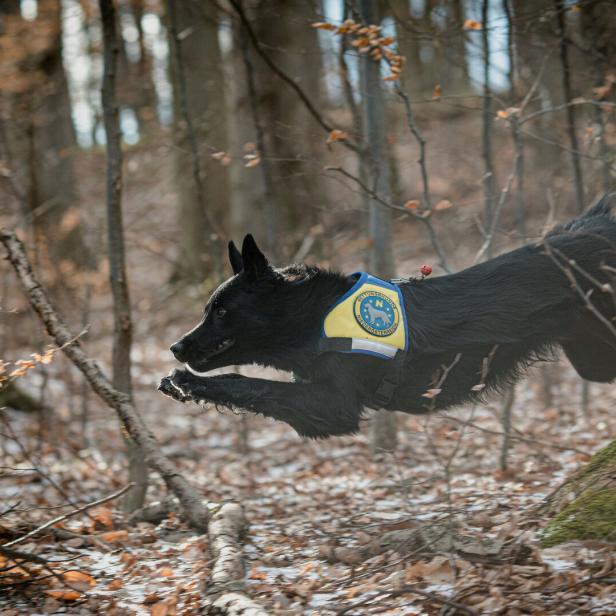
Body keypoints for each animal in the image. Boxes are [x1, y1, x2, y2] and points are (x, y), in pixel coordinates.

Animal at [160, 197, 616, 438]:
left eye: (222, 311)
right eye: (206, 309)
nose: (176, 346)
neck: (313, 316)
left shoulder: (332, 405)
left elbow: (246, 383)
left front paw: (186, 382)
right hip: (591, 358)